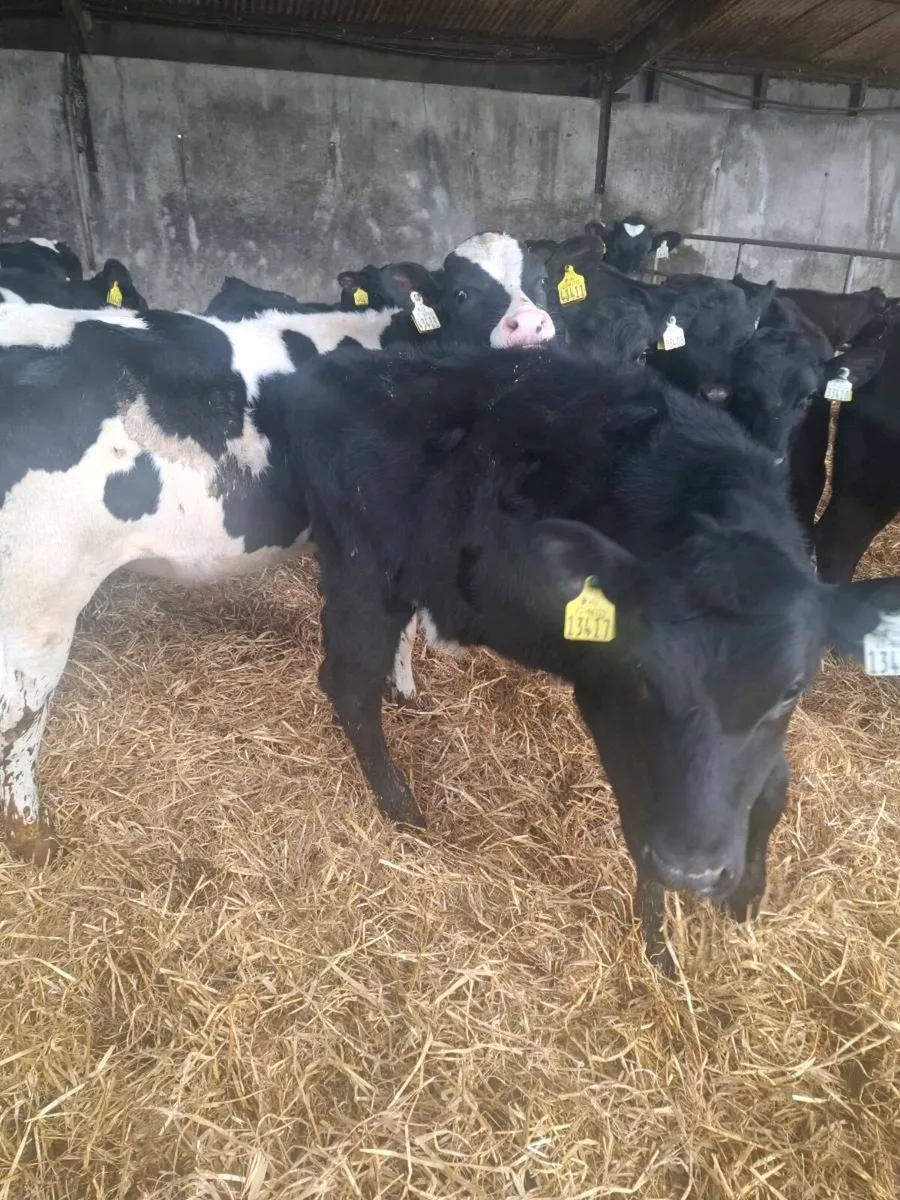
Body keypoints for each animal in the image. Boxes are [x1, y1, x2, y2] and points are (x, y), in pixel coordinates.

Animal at [289, 344, 900, 968]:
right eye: (641, 676)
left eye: (791, 690)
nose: (693, 871)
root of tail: (344, 368)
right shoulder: (608, 703)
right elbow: (641, 819)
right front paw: (658, 944)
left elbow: (773, 784)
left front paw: (746, 894)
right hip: (365, 575)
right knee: (346, 685)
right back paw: (402, 808)